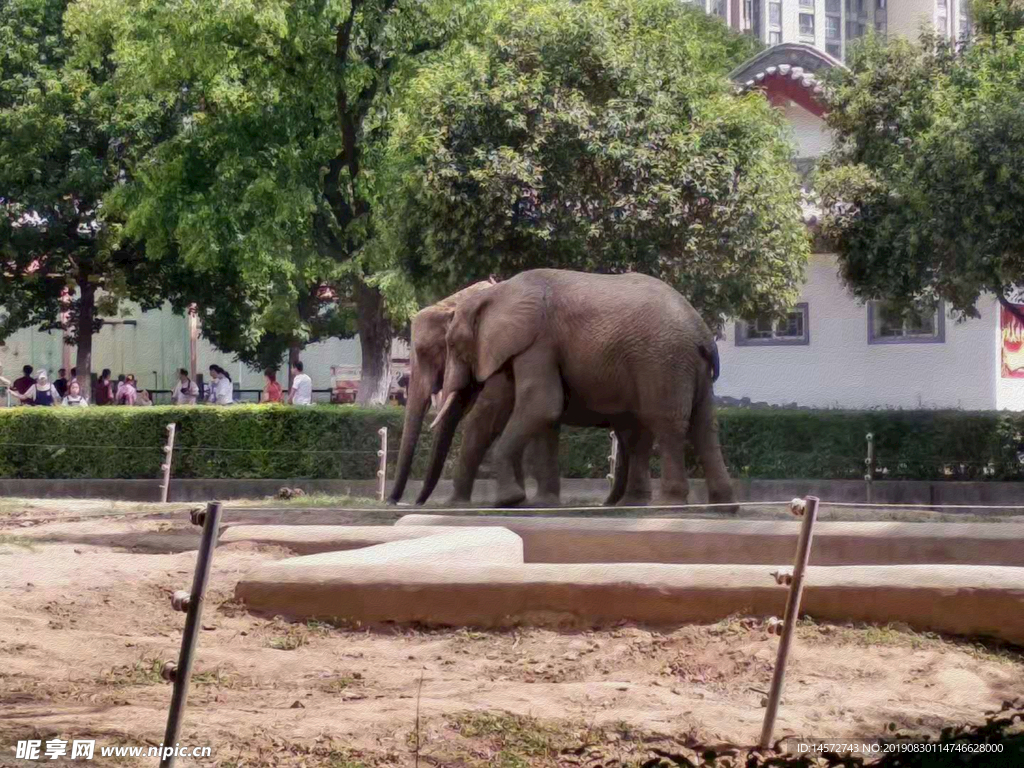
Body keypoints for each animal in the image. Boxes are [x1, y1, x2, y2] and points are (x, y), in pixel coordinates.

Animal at [387, 280, 643, 507]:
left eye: (425, 351)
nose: (406, 502)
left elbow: (484, 418)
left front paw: (458, 504)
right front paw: (523, 501)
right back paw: (613, 502)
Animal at [432, 268, 737, 514]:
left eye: (453, 345)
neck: (499, 291)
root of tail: (702, 333)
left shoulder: (538, 341)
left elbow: (541, 405)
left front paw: (509, 501)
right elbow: (539, 415)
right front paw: (540, 505)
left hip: (664, 360)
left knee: (666, 424)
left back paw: (667, 506)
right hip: (686, 366)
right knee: (702, 426)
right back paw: (718, 507)